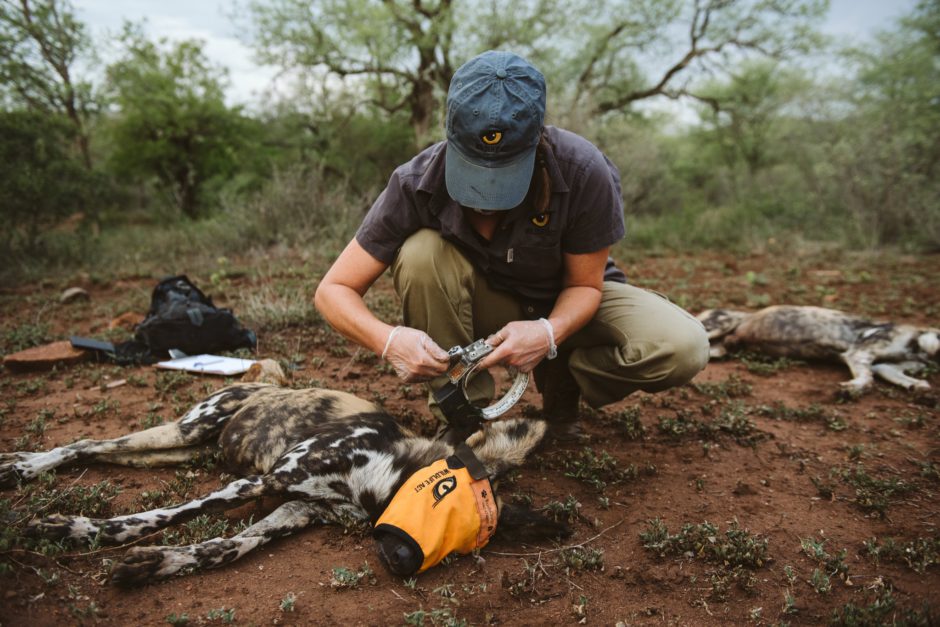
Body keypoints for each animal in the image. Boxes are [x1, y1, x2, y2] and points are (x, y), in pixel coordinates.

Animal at [0, 360, 568, 588]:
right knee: (85, 444)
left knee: (102, 451)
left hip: (174, 452)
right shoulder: (268, 480)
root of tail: (267, 380)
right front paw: (78, 531)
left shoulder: (295, 510)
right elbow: (161, 516)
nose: (406, 563)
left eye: (461, 545)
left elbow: (224, 548)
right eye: (442, 500)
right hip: (188, 429)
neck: (373, 481)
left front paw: (153, 565)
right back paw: (23, 468)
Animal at [696, 306, 940, 392]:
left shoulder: (885, 366)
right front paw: (851, 389)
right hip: (715, 327)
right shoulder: (859, 353)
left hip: (716, 350)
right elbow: (867, 380)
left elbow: (908, 380)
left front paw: (918, 387)